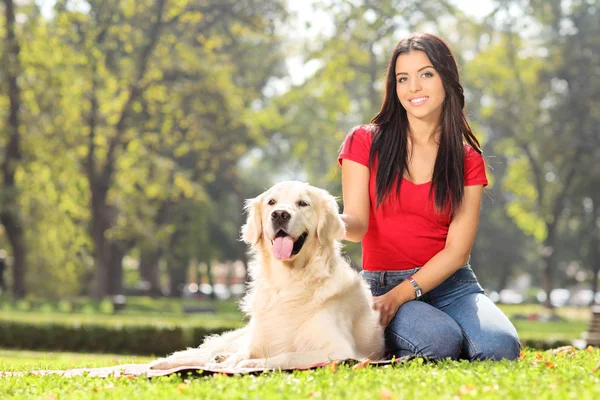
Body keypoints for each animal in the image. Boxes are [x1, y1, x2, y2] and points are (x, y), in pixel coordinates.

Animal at [150, 181, 384, 368]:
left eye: (303, 203)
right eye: (271, 202)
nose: (280, 214)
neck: (288, 281)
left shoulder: (340, 350)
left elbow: (287, 356)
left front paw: (252, 363)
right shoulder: (257, 339)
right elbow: (243, 353)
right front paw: (230, 362)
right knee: (206, 351)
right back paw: (163, 363)